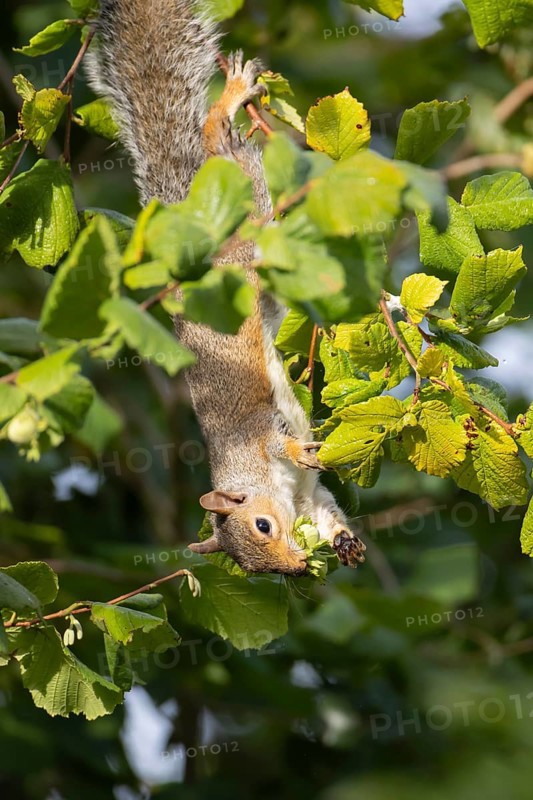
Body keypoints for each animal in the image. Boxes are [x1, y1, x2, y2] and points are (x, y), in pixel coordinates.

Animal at [87, 0, 366, 575]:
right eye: (256, 568)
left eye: (262, 525)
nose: (294, 567)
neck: (269, 485)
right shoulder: (310, 497)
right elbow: (327, 511)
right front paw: (343, 542)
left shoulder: (258, 434)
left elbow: (284, 443)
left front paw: (300, 452)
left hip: (247, 225)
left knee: (216, 137)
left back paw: (229, 101)